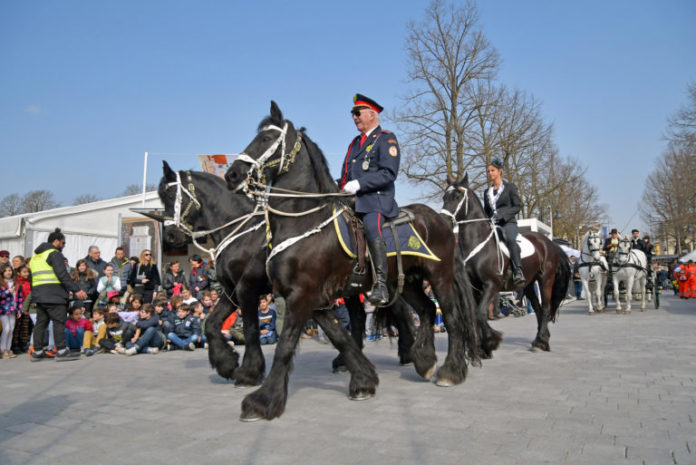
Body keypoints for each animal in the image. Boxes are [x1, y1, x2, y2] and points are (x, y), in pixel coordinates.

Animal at [226, 101, 482, 420]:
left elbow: (285, 346)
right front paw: (364, 380)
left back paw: (451, 371)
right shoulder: (316, 299)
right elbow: (341, 337)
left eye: (266, 138)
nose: (232, 175)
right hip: (407, 281)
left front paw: (263, 400)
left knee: (451, 318)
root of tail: (441, 219)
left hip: (440, 277)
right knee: (424, 310)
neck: (304, 220)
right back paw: (424, 359)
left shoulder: (302, 295)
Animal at [444, 176, 568, 350]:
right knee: (537, 308)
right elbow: (476, 314)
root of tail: (549, 243)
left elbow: (480, 313)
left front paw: (491, 339)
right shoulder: (474, 287)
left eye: (457, 196)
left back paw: (541, 342)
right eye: (444, 197)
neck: (478, 243)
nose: (443, 220)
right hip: (528, 284)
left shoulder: (492, 284)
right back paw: (541, 338)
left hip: (546, 279)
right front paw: (485, 344)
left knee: (545, 308)